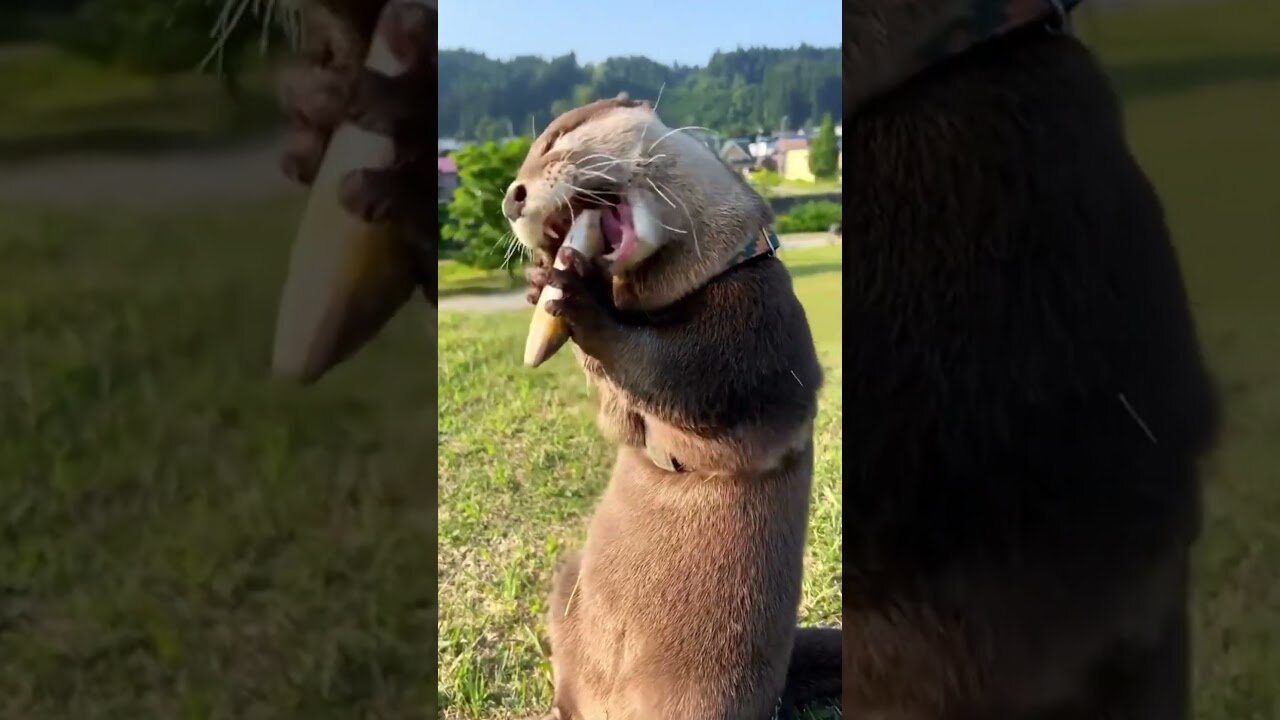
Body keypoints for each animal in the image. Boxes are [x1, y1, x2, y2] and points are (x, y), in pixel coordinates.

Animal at [508, 96, 839, 719]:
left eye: (557, 138)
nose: (511, 195)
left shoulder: (759, 328)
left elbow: (681, 375)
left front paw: (579, 288)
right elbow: (624, 418)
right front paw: (541, 280)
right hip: (567, 586)